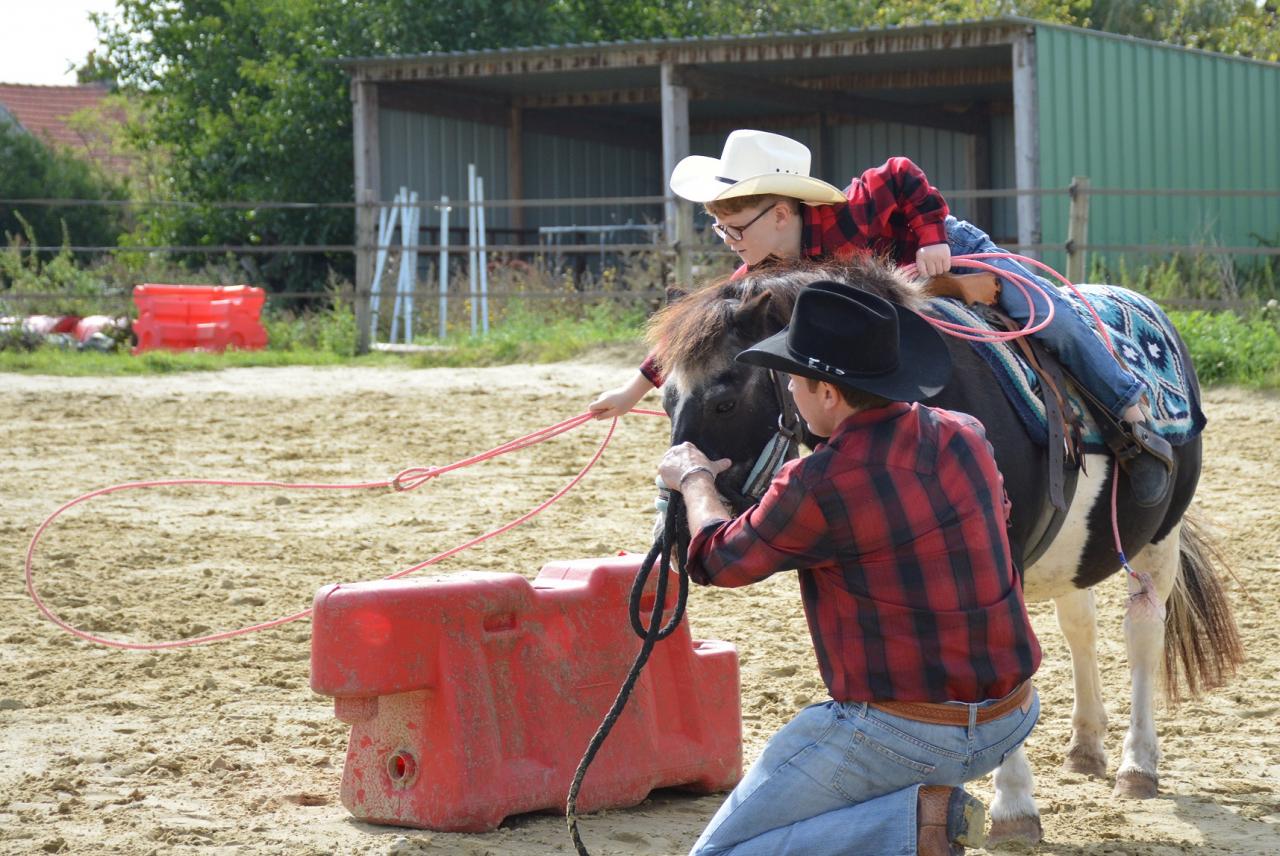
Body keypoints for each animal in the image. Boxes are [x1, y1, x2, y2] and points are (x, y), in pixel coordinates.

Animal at [650, 257, 1239, 844]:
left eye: (725, 401)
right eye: (666, 399)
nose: (677, 530)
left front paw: (1013, 807)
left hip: (1158, 540)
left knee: (1143, 631)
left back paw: (1138, 764)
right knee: (1081, 628)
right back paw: (1086, 746)